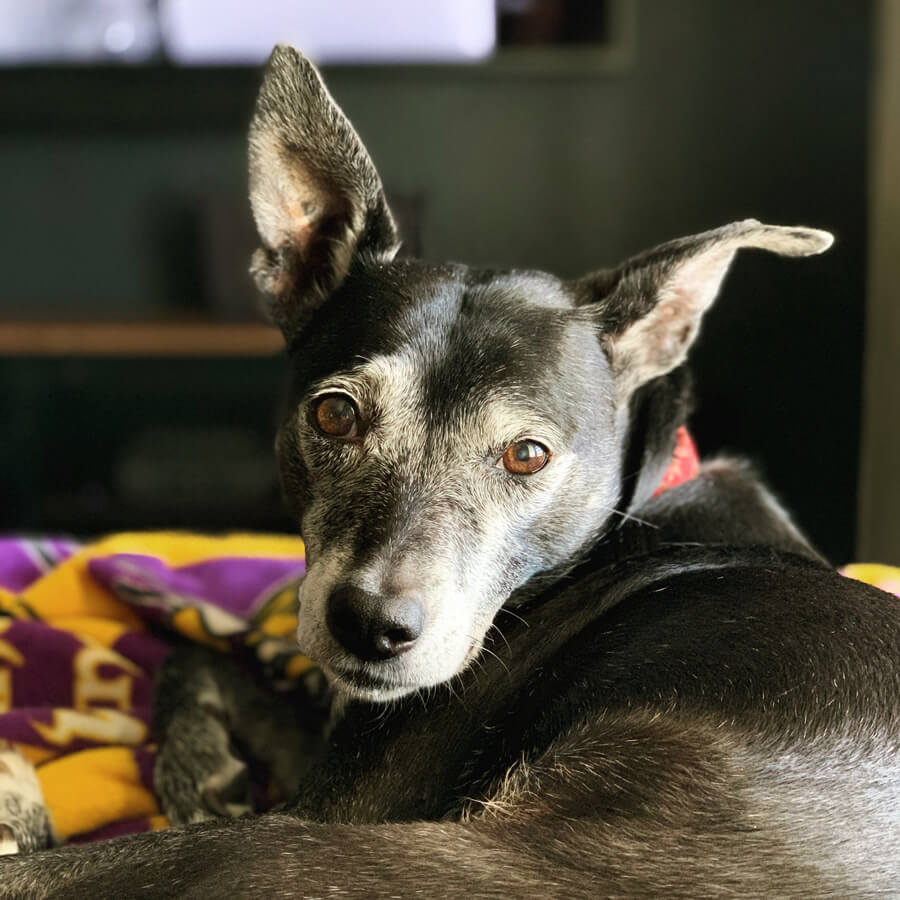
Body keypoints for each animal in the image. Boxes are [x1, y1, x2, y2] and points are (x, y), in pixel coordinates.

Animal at [1, 45, 900, 896]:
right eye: (335, 414)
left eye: (527, 454)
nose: (371, 628)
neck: (636, 514)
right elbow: (197, 657)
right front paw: (202, 771)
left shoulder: (340, 800)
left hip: (295, 858)